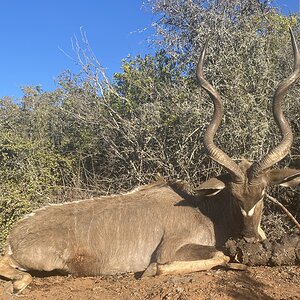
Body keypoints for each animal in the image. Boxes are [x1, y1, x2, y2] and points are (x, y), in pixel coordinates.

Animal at [0, 30, 300, 292]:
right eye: (234, 196)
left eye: (262, 194)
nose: (248, 238)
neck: (207, 210)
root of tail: (16, 232)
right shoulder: (171, 249)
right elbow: (215, 256)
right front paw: (151, 271)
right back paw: (20, 282)